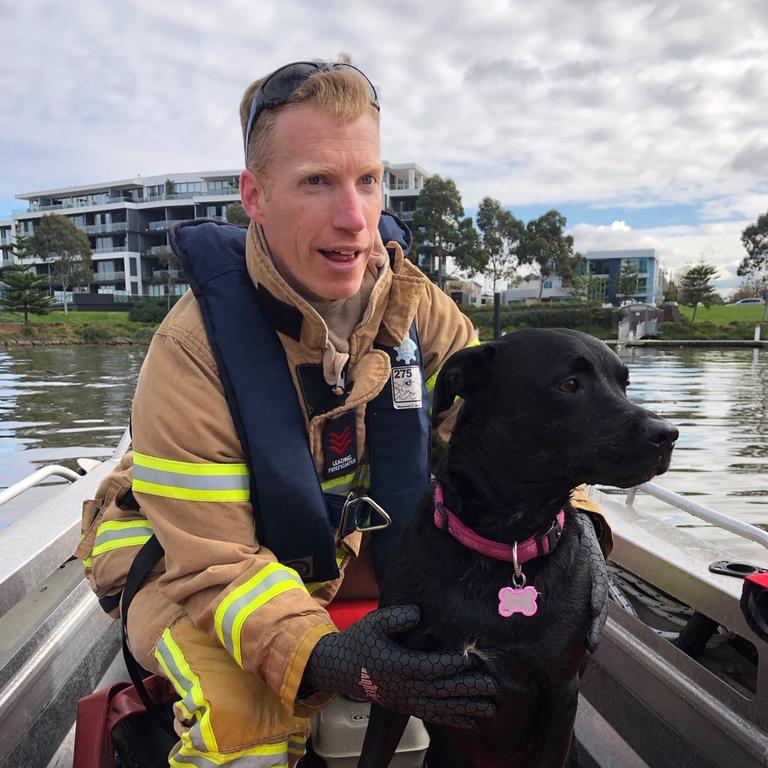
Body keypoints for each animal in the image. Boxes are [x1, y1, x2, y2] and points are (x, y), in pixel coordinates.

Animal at [356, 330, 676, 768]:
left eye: (623, 384)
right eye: (568, 384)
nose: (667, 434)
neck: (501, 545)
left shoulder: (561, 692)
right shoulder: (398, 675)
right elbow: (373, 751)